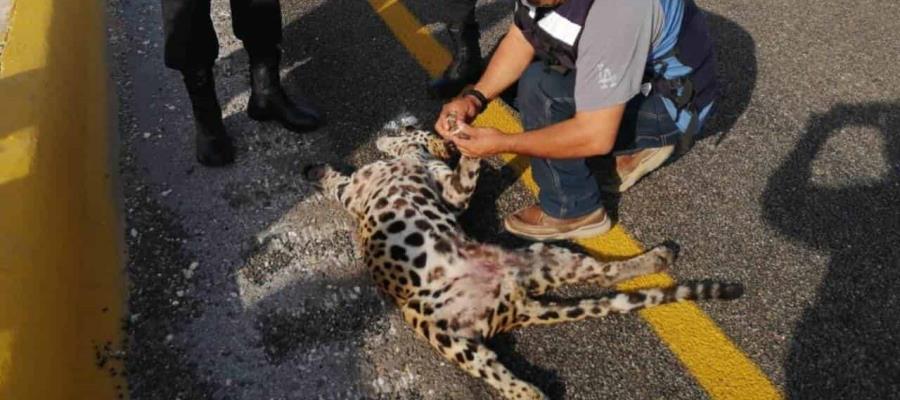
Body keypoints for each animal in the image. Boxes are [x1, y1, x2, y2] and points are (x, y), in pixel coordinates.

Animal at [303, 117, 744, 400]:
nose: (401, 129)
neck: (414, 160)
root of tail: (513, 304)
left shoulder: (448, 192)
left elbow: (455, 168)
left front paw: (465, 139)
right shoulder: (399, 192)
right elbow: (340, 183)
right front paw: (320, 169)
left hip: (545, 258)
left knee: (604, 275)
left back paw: (658, 258)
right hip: (449, 330)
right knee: (508, 374)